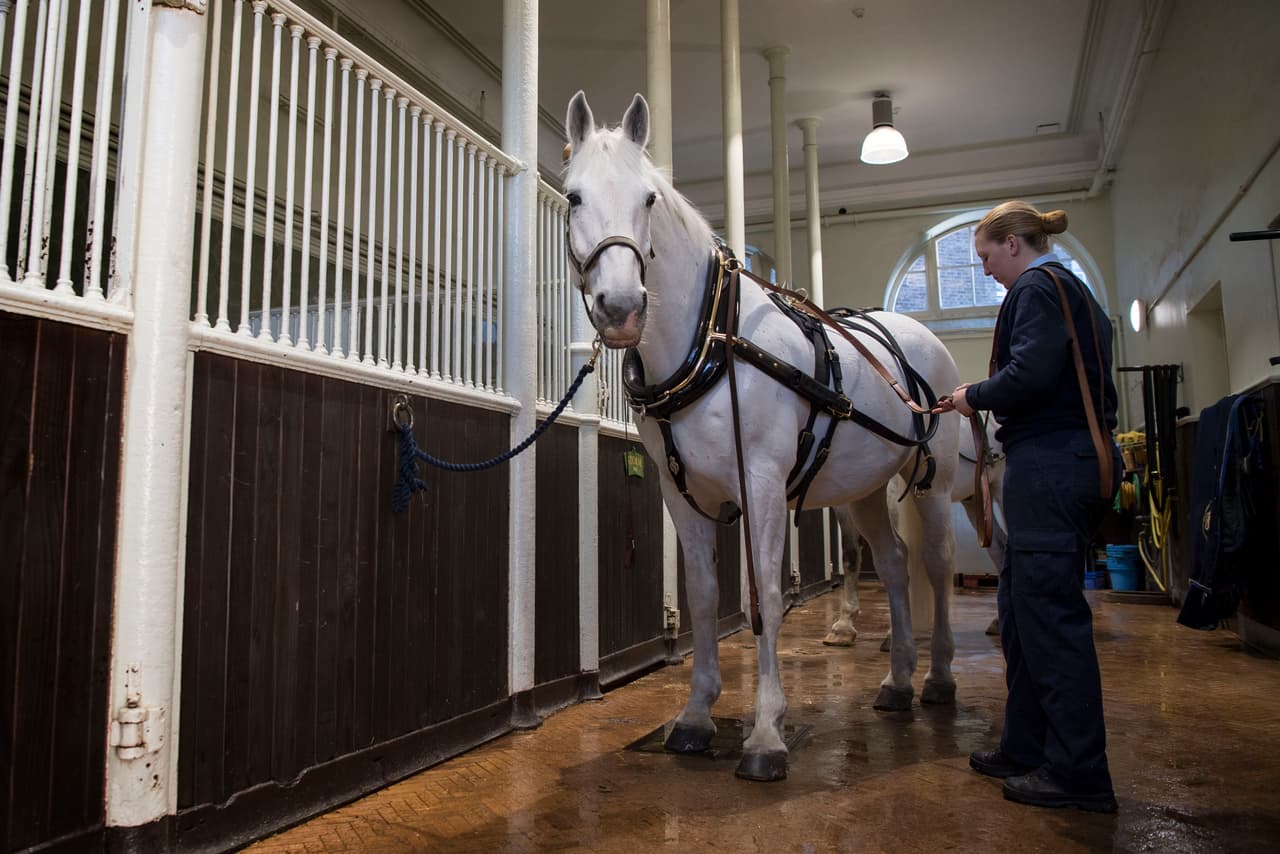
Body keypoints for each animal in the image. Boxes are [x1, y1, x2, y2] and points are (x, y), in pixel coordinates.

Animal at [564, 91, 961, 782]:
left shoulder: (765, 484)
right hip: (866, 488)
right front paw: (696, 716)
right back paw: (897, 682)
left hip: (926, 483)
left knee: (935, 566)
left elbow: (768, 598)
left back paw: (937, 677)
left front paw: (767, 733)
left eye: (649, 198)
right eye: (573, 197)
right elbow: (702, 599)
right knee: (891, 564)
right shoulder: (681, 495)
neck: (710, 341)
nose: (621, 308)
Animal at [825, 418, 1007, 648]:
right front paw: (844, 628)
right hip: (976, 500)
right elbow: (850, 556)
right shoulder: (845, 502)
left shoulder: (893, 495)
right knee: (1000, 548)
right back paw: (998, 622)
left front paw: (893, 634)